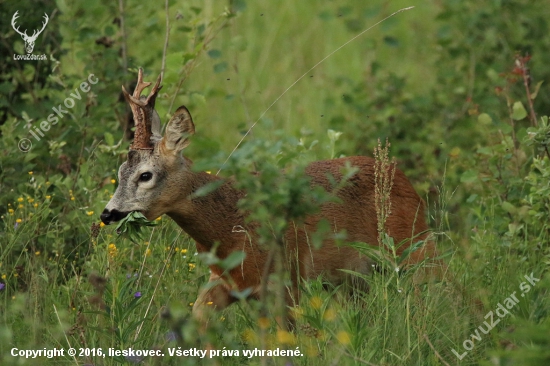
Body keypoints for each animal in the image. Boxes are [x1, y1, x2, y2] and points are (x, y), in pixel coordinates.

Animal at [101, 70, 442, 324]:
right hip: (356, 278)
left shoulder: (284, 280)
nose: (107, 213)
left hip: (415, 248)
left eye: (145, 175)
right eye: (119, 171)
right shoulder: (226, 283)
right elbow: (198, 318)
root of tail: (400, 175)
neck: (229, 227)